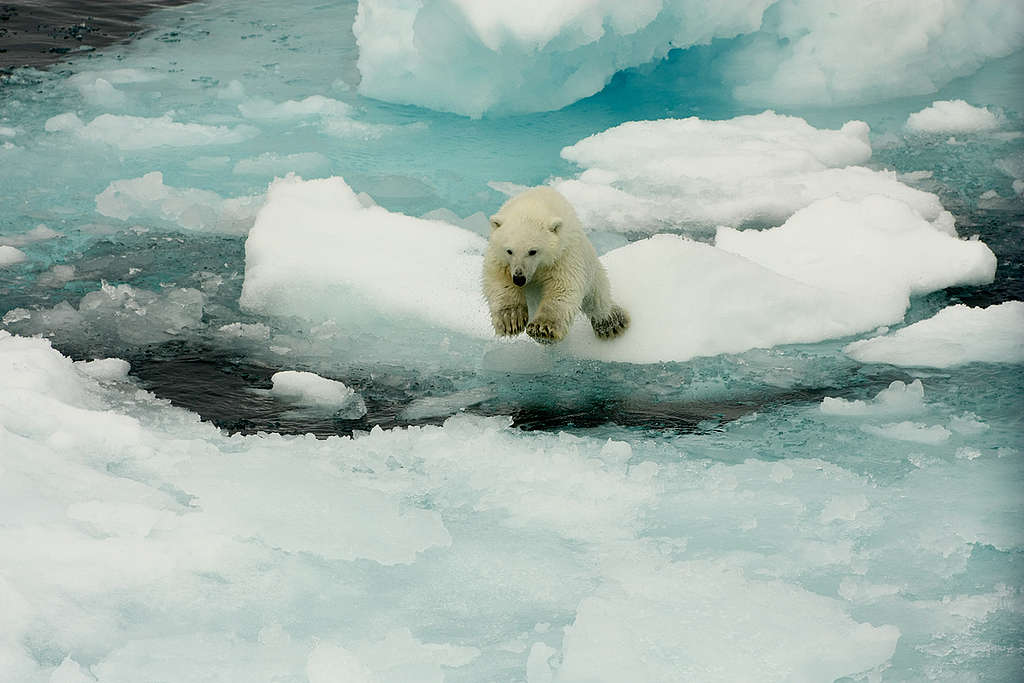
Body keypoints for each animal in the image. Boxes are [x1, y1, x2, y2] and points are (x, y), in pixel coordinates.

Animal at [483, 185, 626, 342]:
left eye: (533, 251)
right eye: (509, 251)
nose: (519, 278)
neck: (533, 204)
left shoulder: (564, 254)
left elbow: (563, 287)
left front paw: (542, 328)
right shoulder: (499, 259)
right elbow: (499, 281)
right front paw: (511, 320)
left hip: (591, 266)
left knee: (597, 297)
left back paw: (611, 324)